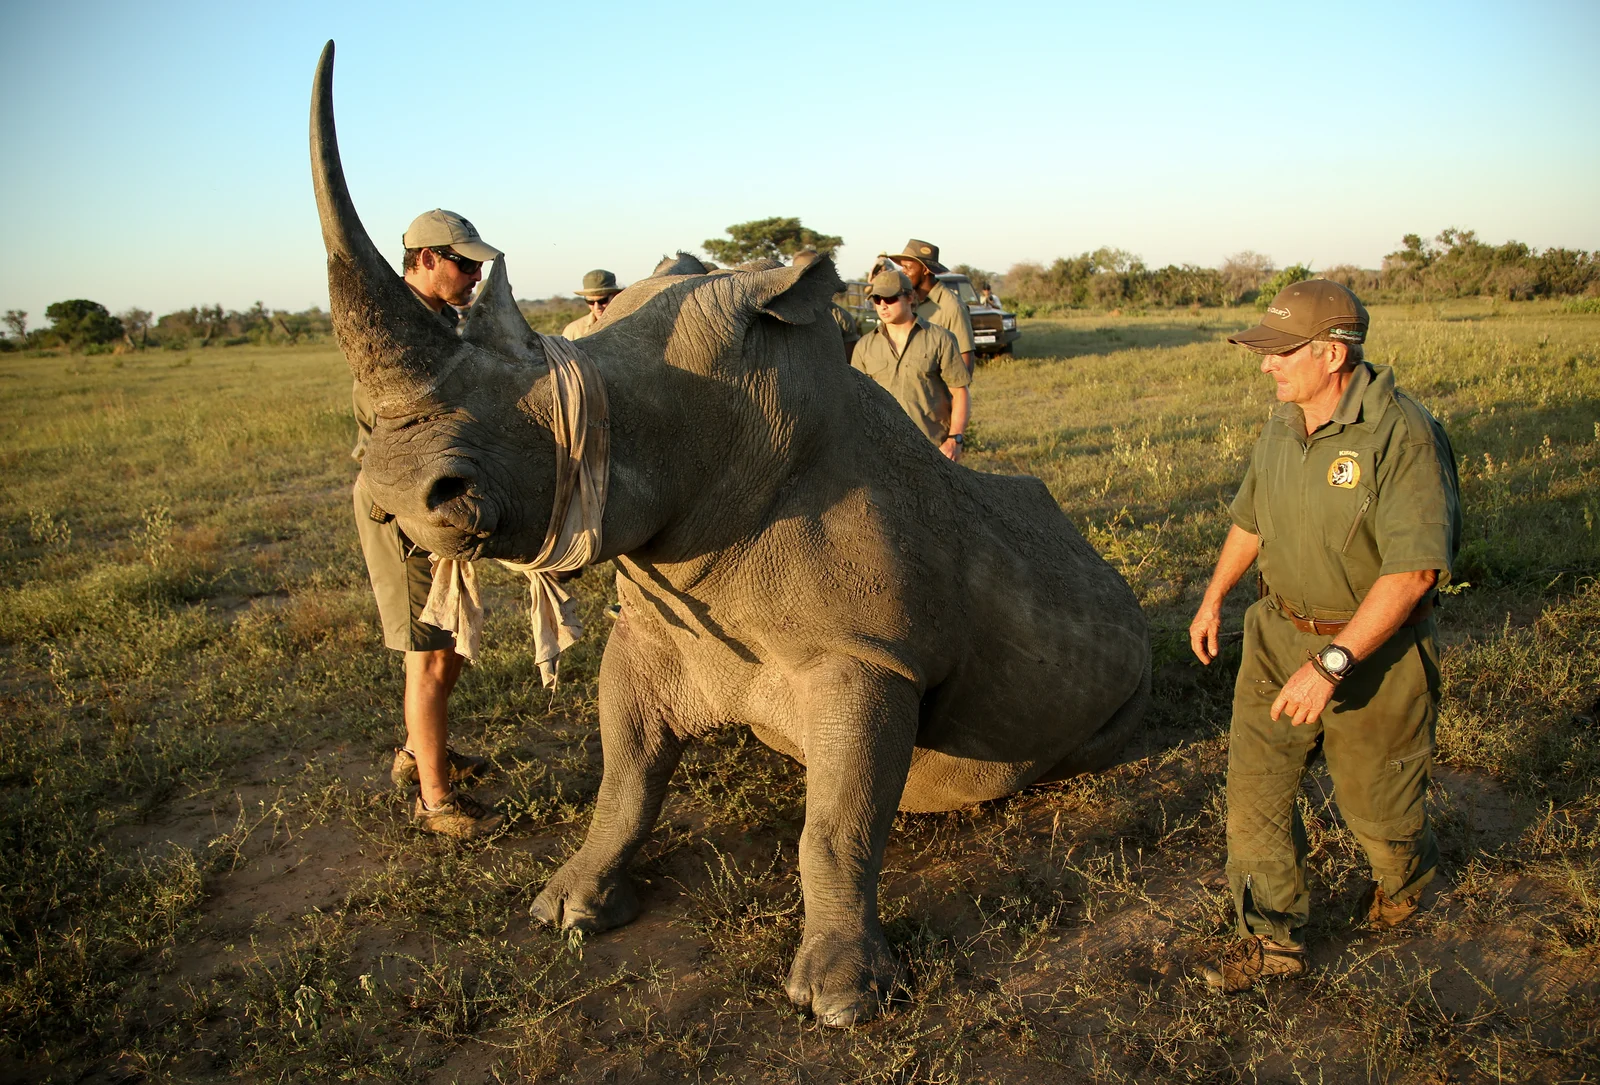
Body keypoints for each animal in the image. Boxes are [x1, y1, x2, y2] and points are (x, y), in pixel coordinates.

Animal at [310, 42, 1150, 1026]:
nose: (397, 493)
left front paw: (842, 1000)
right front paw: (565, 908)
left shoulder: (869, 657)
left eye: (573, 402)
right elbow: (626, 779)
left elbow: (834, 825)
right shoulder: (653, 628)